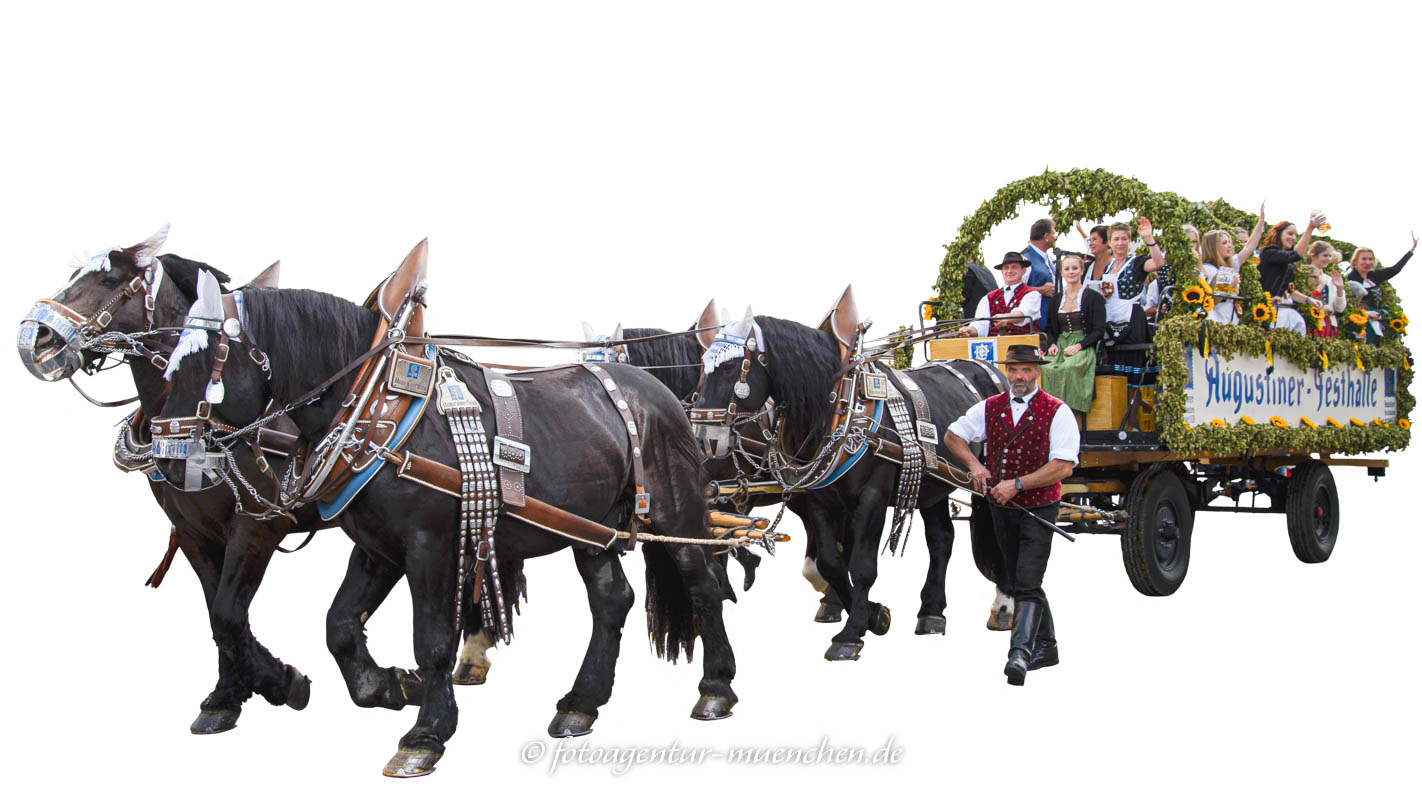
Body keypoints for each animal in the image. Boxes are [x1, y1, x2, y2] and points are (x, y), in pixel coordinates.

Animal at [154, 268, 733, 778]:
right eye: (164, 361)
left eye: (205, 363)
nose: (169, 458)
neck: (378, 409)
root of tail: (659, 393)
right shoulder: (377, 547)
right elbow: (339, 626)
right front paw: (384, 687)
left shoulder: (430, 545)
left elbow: (432, 638)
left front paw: (426, 733)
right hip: (593, 527)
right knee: (612, 601)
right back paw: (581, 704)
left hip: (674, 510)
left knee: (703, 585)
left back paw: (716, 689)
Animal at [691, 309, 1001, 659]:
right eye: (703, 364)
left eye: (730, 366)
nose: (702, 439)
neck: (838, 409)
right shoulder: (818, 499)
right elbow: (832, 562)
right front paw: (872, 615)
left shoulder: (872, 497)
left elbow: (862, 566)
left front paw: (851, 633)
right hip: (932, 485)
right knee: (941, 540)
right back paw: (931, 612)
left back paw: (1005, 606)